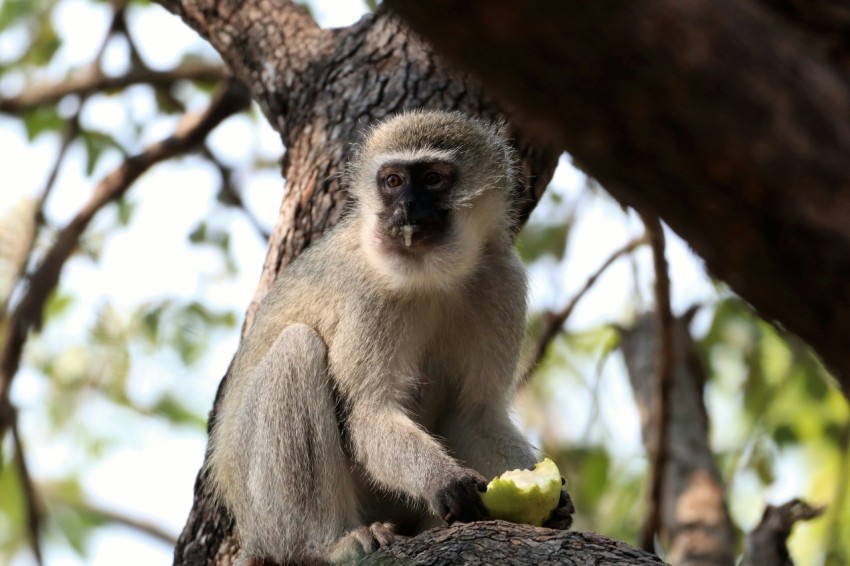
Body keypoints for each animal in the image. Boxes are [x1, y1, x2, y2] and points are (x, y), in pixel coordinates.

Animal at [207, 110, 574, 565]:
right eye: (394, 181)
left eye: (432, 178)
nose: (406, 208)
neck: (434, 274)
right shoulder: (371, 296)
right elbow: (369, 412)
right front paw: (443, 480)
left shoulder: (502, 279)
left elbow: (475, 415)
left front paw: (556, 503)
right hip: (263, 512)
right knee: (297, 349)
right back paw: (330, 544)